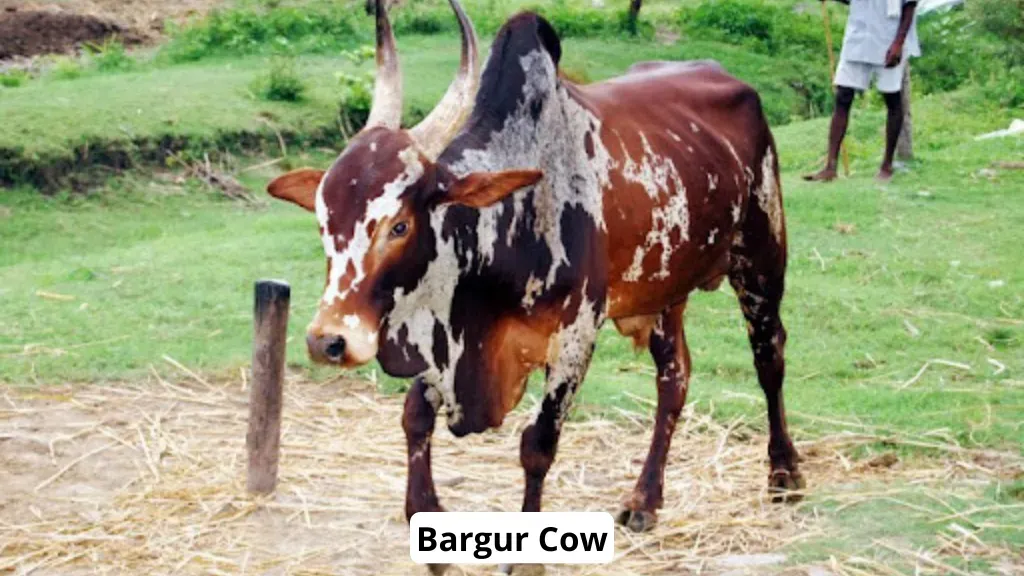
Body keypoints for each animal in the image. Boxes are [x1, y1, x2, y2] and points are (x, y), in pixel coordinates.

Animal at [267, 0, 804, 557]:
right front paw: (424, 511)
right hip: (664, 290)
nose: (329, 340)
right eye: (324, 221)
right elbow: (414, 415)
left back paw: (784, 472)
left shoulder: (575, 337)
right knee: (673, 377)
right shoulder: (438, 336)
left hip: (761, 263)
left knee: (769, 358)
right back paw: (645, 499)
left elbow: (538, 445)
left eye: (399, 225)